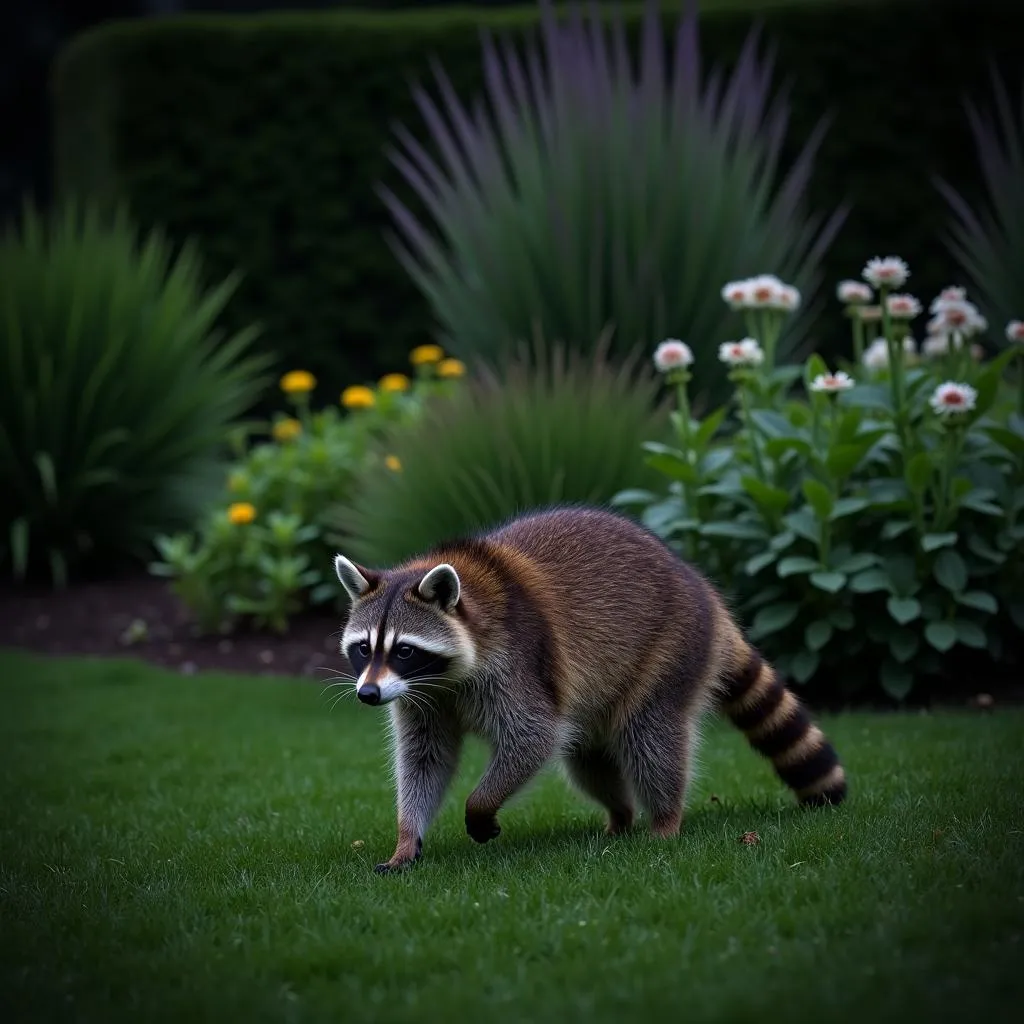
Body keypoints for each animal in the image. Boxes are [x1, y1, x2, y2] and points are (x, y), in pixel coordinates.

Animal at [331, 503, 843, 872]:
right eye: (363, 648)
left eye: (404, 650)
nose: (367, 695)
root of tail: (707, 596)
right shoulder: (424, 699)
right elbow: (425, 759)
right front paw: (407, 837)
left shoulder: (515, 663)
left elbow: (532, 738)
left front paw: (480, 806)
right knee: (589, 759)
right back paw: (621, 816)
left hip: (672, 645)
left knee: (650, 738)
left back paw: (664, 819)